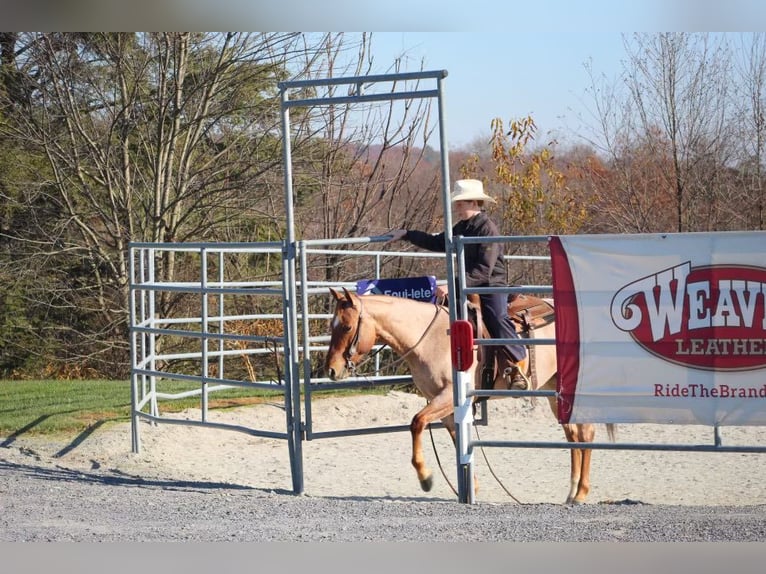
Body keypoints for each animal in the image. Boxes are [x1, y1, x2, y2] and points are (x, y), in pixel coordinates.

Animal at [326, 288, 616, 504]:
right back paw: (571, 492)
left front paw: (425, 477)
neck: (432, 337)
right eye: (332, 325)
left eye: (348, 326)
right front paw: (470, 488)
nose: (332, 370)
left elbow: (417, 422)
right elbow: (457, 438)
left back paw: (580, 494)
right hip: (553, 389)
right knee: (573, 434)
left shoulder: (446, 397)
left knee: (586, 432)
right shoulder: (444, 404)